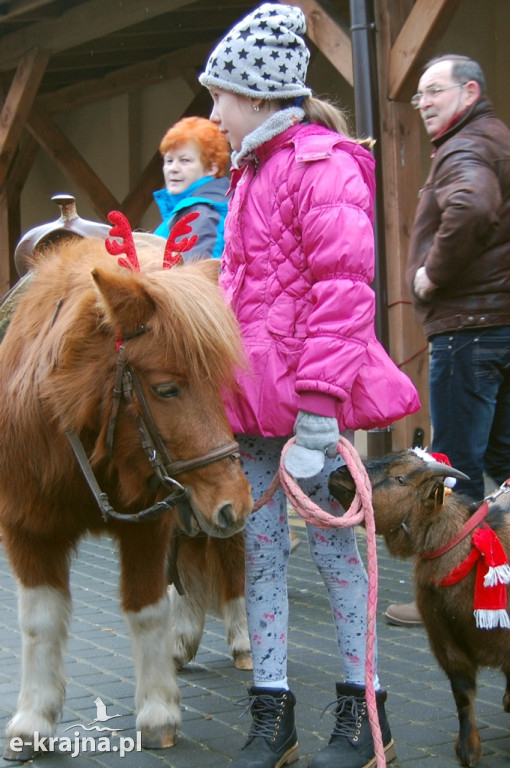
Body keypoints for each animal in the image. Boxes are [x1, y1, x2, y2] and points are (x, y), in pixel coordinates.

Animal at [0, 234, 253, 760]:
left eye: (219, 384)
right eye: (166, 388)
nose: (233, 502)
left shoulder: (148, 523)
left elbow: (147, 609)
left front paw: (158, 712)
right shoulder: (25, 527)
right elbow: (39, 621)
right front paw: (33, 719)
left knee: (230, 561)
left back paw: (240, 641)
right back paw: (183, 640)